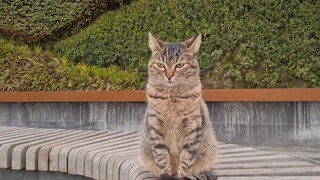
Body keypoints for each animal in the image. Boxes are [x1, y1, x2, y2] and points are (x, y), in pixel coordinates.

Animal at [139, 33, 218, 179]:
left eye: (180, 65)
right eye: (160, 65)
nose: (169, 76)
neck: (172, 97)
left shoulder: (193, 128)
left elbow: (187, 160)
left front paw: (183, 176)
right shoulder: (155, 126)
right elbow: (162, 158)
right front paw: (166, 175)